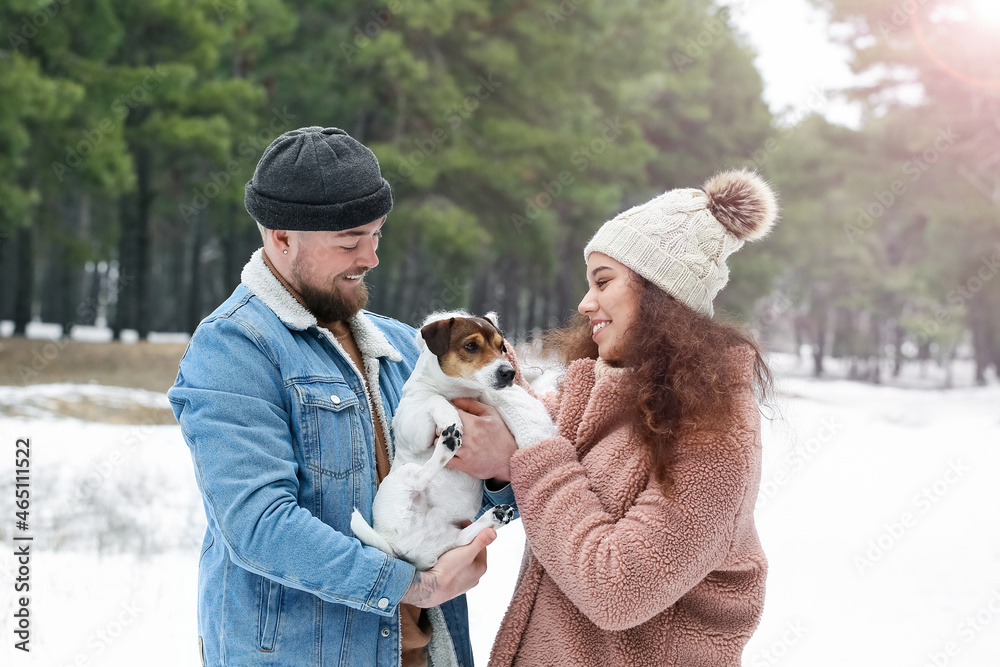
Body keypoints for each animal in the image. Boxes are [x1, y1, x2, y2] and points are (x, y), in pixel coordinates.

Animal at [350, 312, 556, 568]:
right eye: (471, 346)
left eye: (502, 347)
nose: (509, 372)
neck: (458, 392)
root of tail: (398, 548)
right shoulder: (411, 428)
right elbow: (434, 399)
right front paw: (450, 415)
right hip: (403, 477)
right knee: (419, 479)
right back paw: (447, 444)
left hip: (448, 541)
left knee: (463, 537)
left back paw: (496, 515)